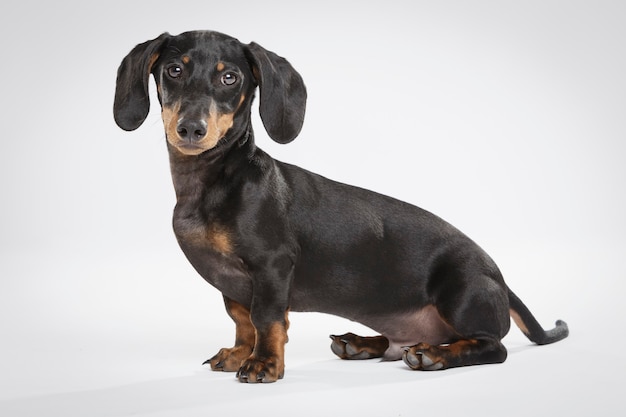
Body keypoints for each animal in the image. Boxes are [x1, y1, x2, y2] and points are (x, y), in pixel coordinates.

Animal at [112, 30, 564, 384]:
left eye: (229, 77)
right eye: (174, 70)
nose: (191, 128)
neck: (215, 180)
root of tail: (499, 278)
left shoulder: (272, 266)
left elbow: (266, 319)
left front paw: (264, 363)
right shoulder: (234, 285)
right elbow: (242, 320)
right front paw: (240, 353)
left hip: (462, 291)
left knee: (491, 346)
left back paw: (434, 355)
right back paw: (360, 343)